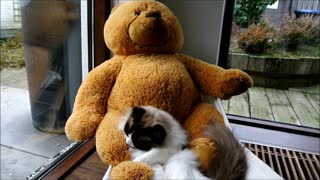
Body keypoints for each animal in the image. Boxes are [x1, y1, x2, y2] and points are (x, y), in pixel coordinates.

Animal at [117, 106, 248, 179]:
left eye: (136, 140)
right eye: (128, 132)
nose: (127, 142)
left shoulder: (163, 153)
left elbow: (144, 158)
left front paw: (130, 164)